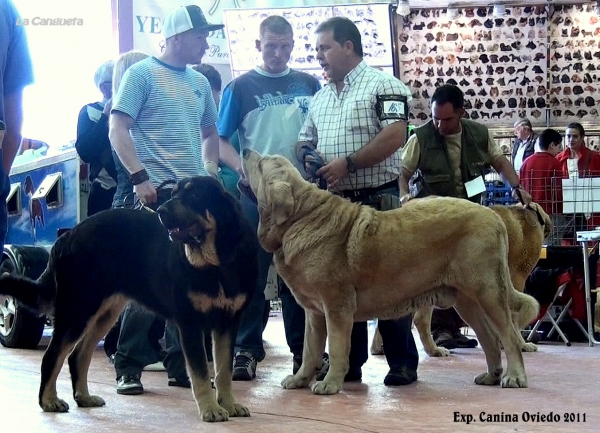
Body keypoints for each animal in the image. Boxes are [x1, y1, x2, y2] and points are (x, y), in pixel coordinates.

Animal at [0, 176, 258, 422]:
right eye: (174, 194)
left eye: (194, 195)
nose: (161, 210)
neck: (216, 264)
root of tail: (67, 237)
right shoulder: (190, 323)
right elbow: (201, 373)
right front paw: (210, 409)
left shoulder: (227, 324)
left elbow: (223, 371)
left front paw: (229, 405)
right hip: (78, 310)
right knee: (52, 355)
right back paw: (49, 401)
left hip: (104, 314)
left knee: (78, 355)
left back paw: (84, 398)